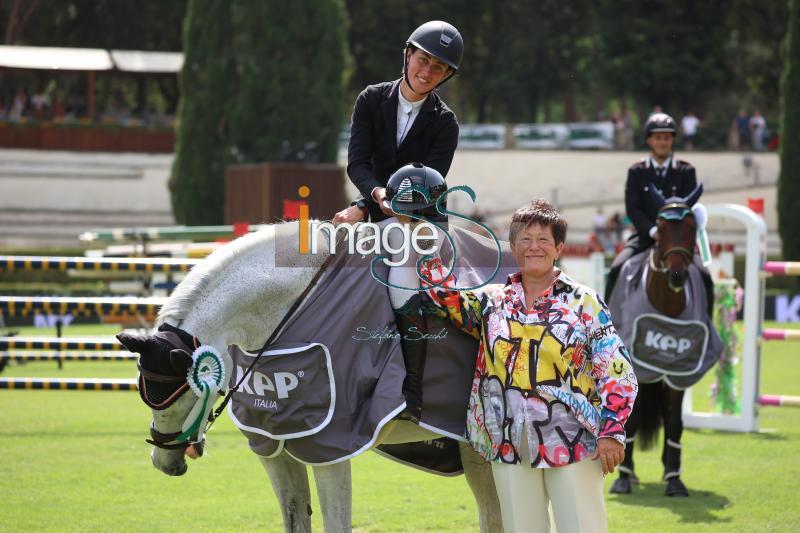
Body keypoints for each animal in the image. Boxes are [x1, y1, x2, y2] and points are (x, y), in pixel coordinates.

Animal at [118, 221, 500, 532]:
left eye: (183, 394)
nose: (164, 462)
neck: (295, 307)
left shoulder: (330, 447)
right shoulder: (273, 448)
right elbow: (295, 519)